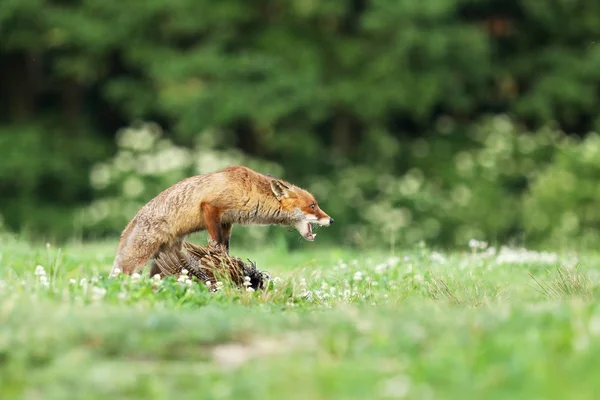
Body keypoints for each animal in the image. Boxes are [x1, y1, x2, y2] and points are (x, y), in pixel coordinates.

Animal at [108, 164, 332, 276]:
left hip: (163, 259)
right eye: (313, 206)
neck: (249, 190)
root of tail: (134, 219)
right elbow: (217, 242)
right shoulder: (210, 207)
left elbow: (225, 245)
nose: (331, 220)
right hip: (137, 260)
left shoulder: (227, 221)